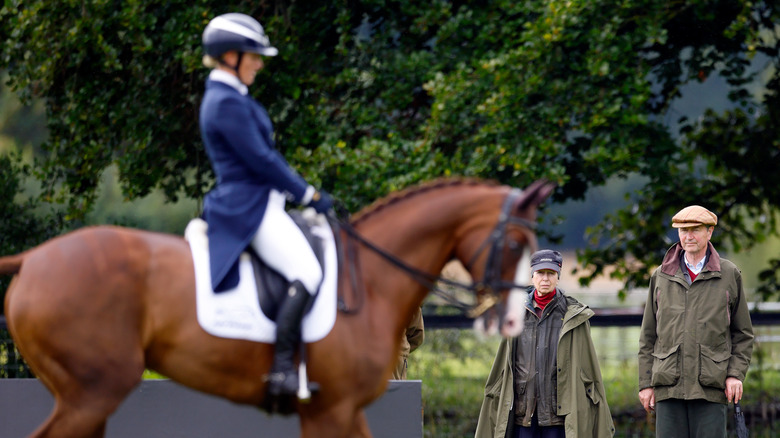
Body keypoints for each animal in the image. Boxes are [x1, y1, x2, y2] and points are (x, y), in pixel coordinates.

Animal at [0, 178, 556, 438]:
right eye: (514, 242)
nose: (510, 319)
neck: (371, 279)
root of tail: (35, 259)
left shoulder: (343, 411)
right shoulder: (330, 410)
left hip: (88, 396)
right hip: (94, 391)